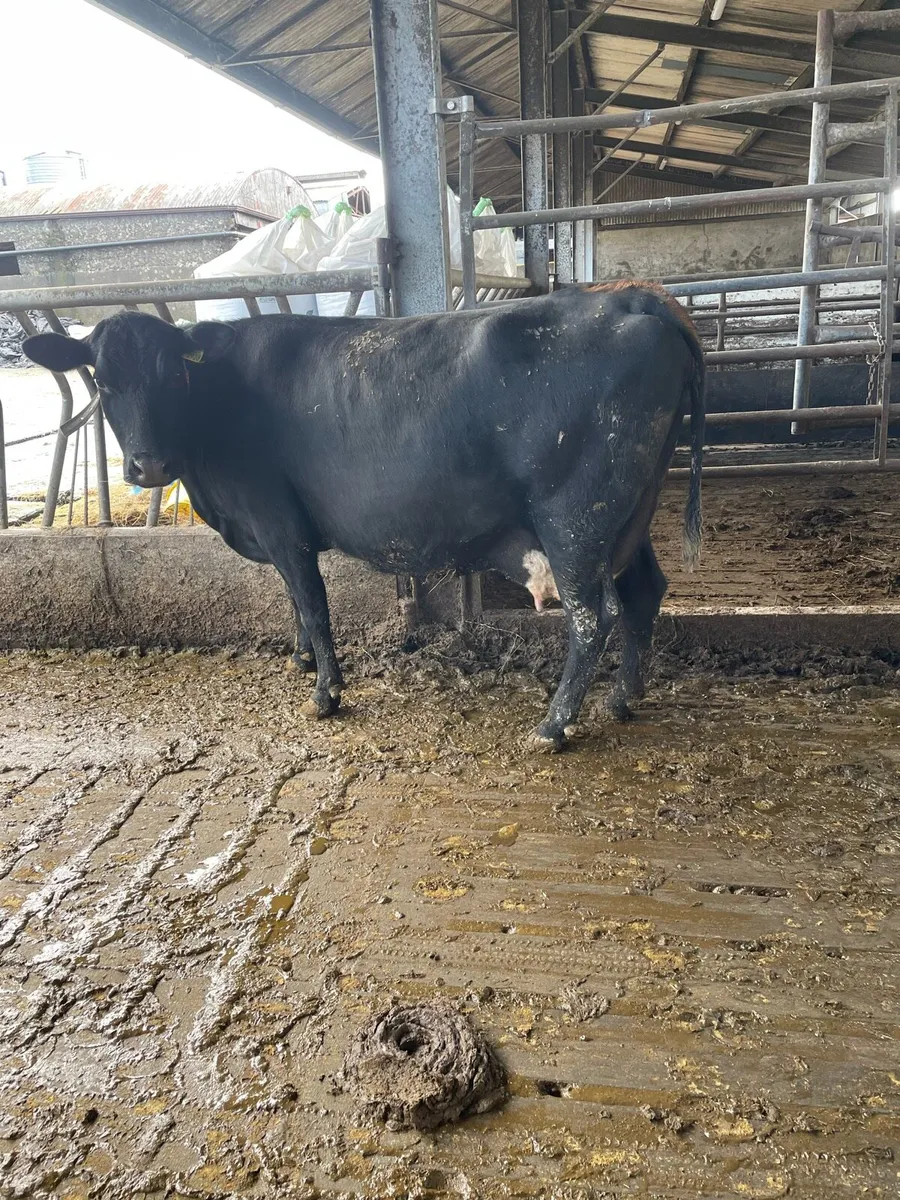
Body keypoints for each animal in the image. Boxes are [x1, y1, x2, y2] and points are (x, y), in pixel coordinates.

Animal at [24, 282, 704, 751]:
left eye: (171, 375)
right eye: (102, 381)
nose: (148, 465)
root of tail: (631, 299)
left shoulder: (280, 523)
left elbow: (313, 602)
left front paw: (325, 692)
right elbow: (295, 602)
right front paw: (301, 660)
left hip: (574, 521)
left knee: (594, 617)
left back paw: (553, 725)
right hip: (627, 518)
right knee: (644, 594)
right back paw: (621, 700)